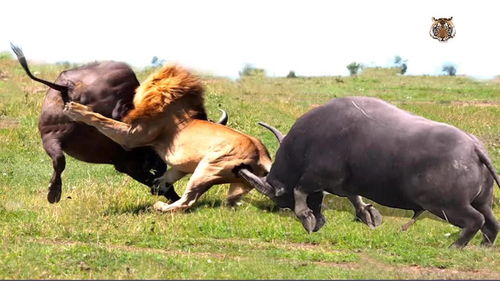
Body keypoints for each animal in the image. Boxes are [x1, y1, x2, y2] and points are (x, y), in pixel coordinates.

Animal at [11, 43, 227, 202]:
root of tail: (68, 86)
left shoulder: (125, 164)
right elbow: (157, 172)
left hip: (51, 137)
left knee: (59, 160)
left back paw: (53, 193)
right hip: (122, 80)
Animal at [239, 97, 500, 247]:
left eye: (282, 198)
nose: (319, 222)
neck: (306, 143)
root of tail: (473, 147)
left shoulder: (317, 176)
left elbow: (301, 190)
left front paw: (307, 217)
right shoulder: (343, 184)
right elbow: (355, 198)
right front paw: (366, 214)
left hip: (445, 205)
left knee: (475, 221)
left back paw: (454, 246)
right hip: (482, 201)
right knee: (491, 223)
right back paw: (483, 247)